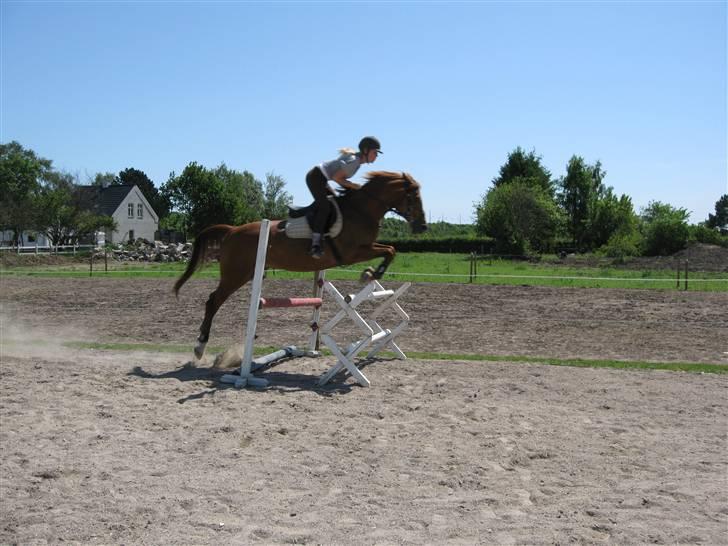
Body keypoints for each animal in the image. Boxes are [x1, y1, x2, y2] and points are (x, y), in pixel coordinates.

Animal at [175, 168, 426, 360]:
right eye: (414, 196)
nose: (422, 227)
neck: (361, 210)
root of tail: (232, 230)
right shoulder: (351, 253)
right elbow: (389, 251)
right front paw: (371, 273)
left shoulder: (363, 248)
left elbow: (390, 249)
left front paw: (371, 273)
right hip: (236, 274)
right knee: (213, 301)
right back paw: (200, 346)